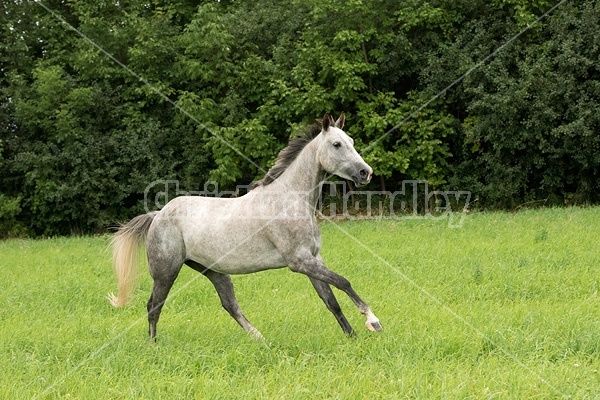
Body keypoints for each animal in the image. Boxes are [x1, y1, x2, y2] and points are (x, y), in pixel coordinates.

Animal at [110, 111, 382, 338]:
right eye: (337, 144)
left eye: (352, 141)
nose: (365, 173)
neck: (291, 199)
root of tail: (158, 214)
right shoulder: (299, 261)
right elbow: (343, 282)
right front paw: (373, 321)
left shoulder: (313, 259)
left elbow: (330, 299)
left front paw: (352, 337)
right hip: (166, 270)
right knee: (154, 305)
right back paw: (153, 345)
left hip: (213, 271)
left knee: (229, 304)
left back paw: (260, 340)